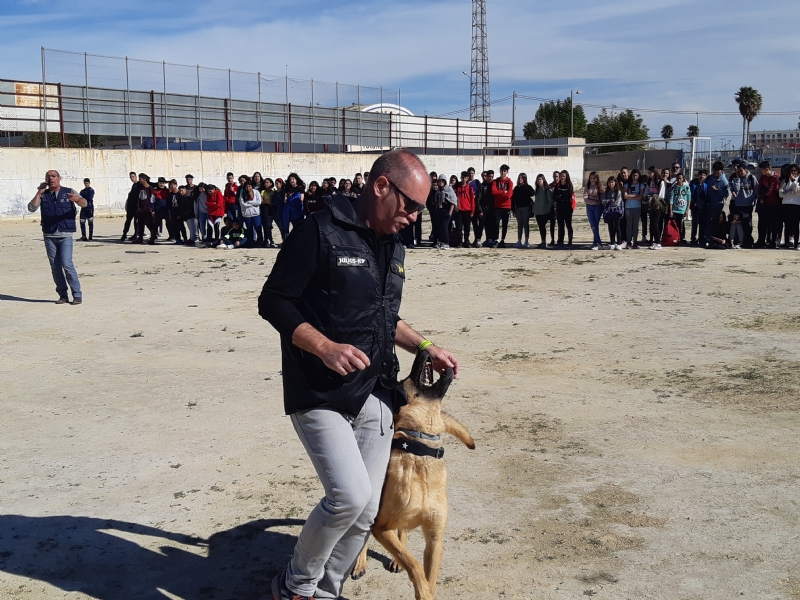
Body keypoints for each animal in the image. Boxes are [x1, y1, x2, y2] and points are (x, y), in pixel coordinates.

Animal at [352, 350, 476, 596]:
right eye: (403, 381)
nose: (424, 349)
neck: (420, 451)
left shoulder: (435, 539)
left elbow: (428, 574)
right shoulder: (381, 527)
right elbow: (414, 563)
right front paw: (422, 589)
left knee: (403, 532)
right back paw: (360, 562)